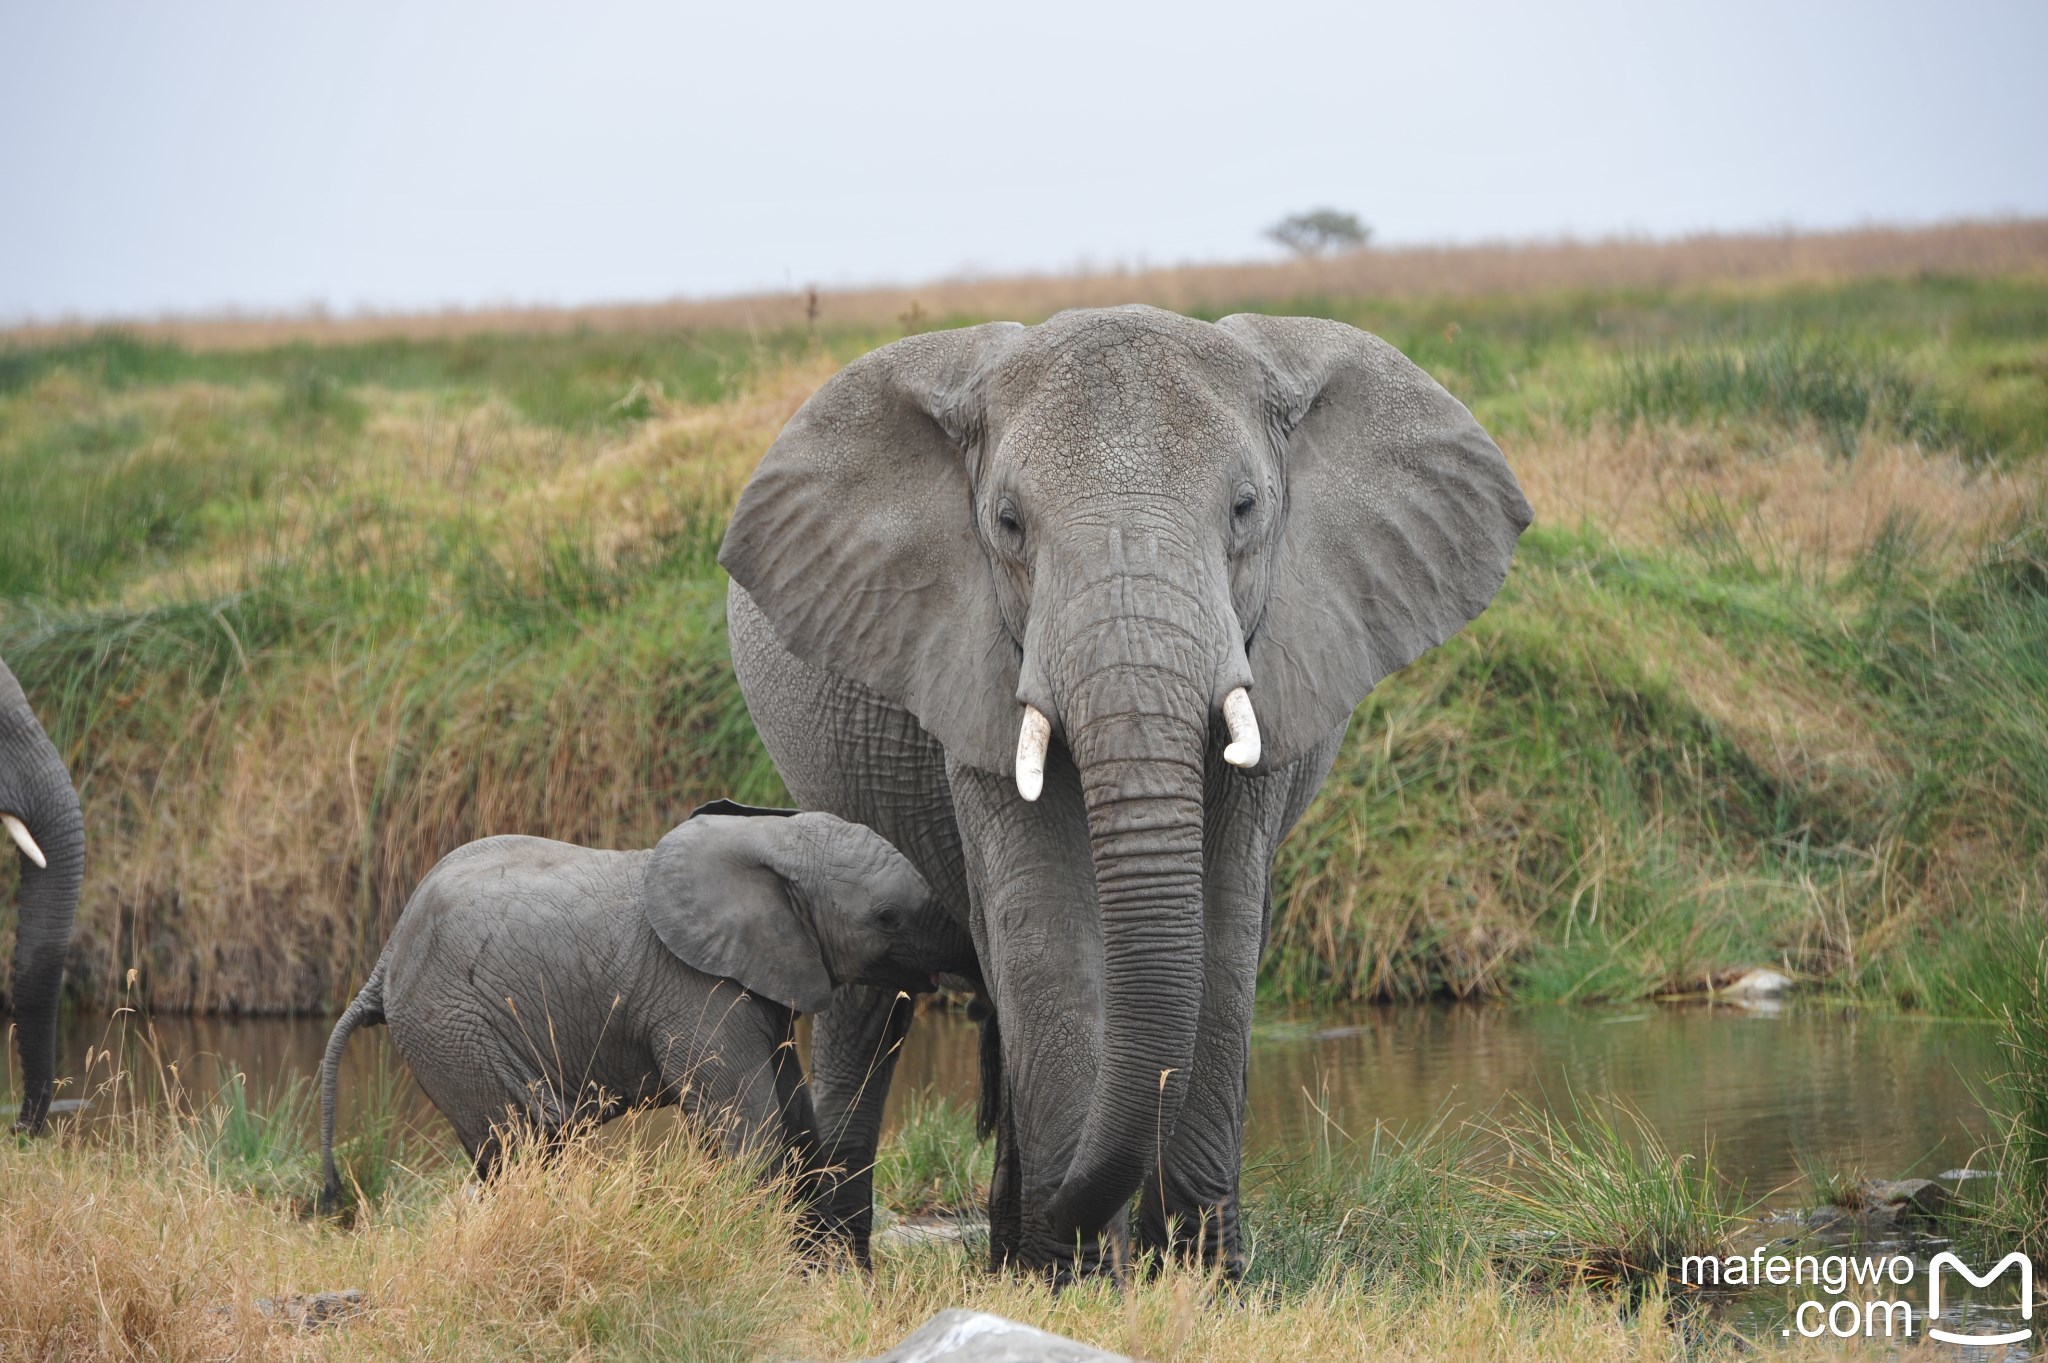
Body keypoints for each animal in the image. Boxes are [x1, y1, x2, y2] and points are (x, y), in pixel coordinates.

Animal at [313, 802, 966, 1203]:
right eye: (887, 918)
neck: (763, 842)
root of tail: (383, 959)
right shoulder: (692, 989)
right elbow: (751, 1134)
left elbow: (797, 1121)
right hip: (452, 1029)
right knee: (523, 1144)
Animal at [729, 302, 1531, 1268]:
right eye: (1007, 524)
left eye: (1245, 509)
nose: (1070, 1226)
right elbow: (1045, 923)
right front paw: (1073, 1272)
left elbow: (1224, 926)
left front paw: (1200, 1272)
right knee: (871, 998)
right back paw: (852, 1258)